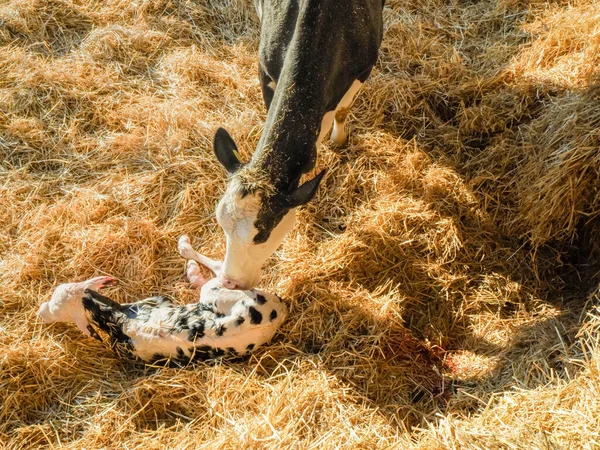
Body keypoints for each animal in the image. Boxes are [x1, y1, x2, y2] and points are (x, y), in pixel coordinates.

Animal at [36, 236, 288, 366]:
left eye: (57, 310)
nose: (41, 311)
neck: (121, 324)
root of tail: (279, 309)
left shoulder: (158, 300)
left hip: (216, 292)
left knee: (219, 272)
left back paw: (187, 253)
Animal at [213, 0, 386, 288]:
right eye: (220, 221)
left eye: (261, 235)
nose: (229, 282)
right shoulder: (266, 70)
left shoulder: (364, 68)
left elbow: (342, 111)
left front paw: (338, 140)